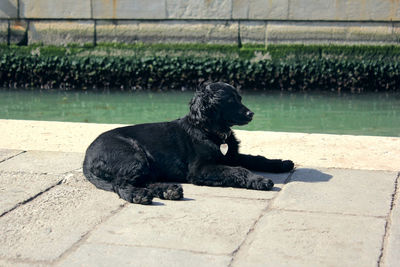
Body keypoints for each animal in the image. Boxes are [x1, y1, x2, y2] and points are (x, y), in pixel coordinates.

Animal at [82, 83, 294, 205]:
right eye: (230, 100)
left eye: (240, 98)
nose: (251, 114)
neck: (209, 130)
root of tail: (86, 159)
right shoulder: (200, 169)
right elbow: (238, 170)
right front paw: (259, 180)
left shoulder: (232, 155)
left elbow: (256, 158)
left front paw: (281, 163)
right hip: (133, 156)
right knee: (121, 184)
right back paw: (139, 196)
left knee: (142, 180)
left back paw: (169, 191)